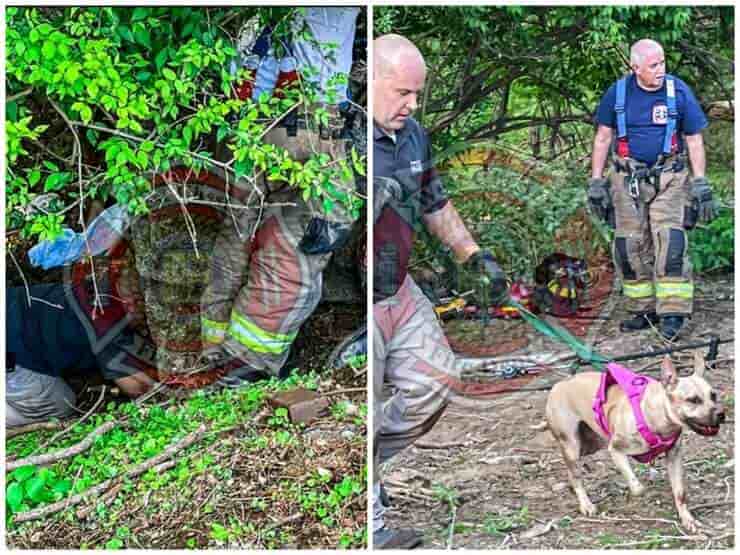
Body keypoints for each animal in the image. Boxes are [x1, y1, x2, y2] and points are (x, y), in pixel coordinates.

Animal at [536, 354, 724, 532]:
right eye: (693, 400)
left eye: (713, 395)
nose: (721, 414)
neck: (657, 416)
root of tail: (559, 384)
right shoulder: (616, 450)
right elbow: (637, 486)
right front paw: (637, 491)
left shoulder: (674, 456)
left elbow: (680, 492)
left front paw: (687, 518)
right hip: (572, 446)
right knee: (576, 475)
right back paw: (586, 504)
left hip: (590, 444)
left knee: (572, 472)